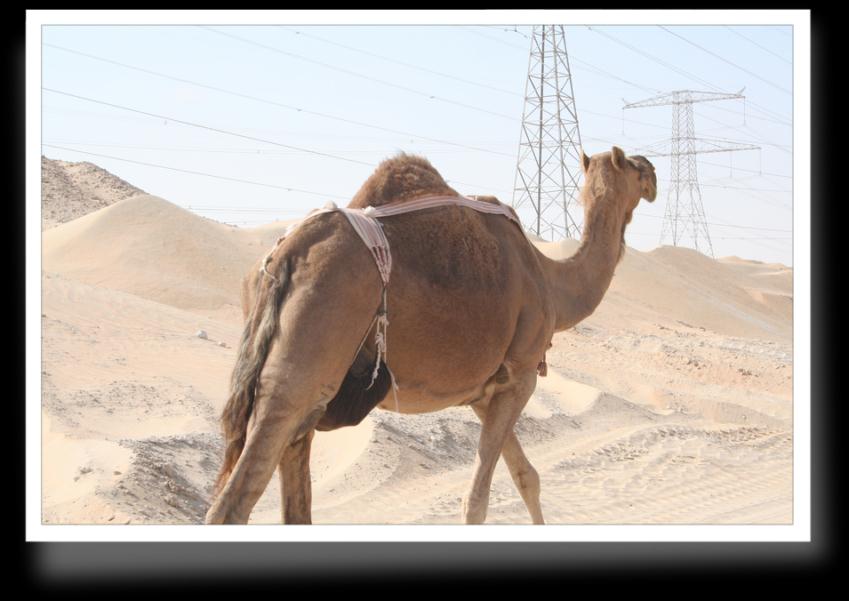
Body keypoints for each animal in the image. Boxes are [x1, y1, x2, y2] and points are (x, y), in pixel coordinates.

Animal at [205, 147, 656, 525]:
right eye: (634, 167)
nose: (652, 172)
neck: (550, 280)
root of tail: (287, 253)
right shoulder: (522, 374)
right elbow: (477, 500)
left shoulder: (484, 392)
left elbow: (527, 476)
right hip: (302, 365)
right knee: (233, 501)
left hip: (304, 382)